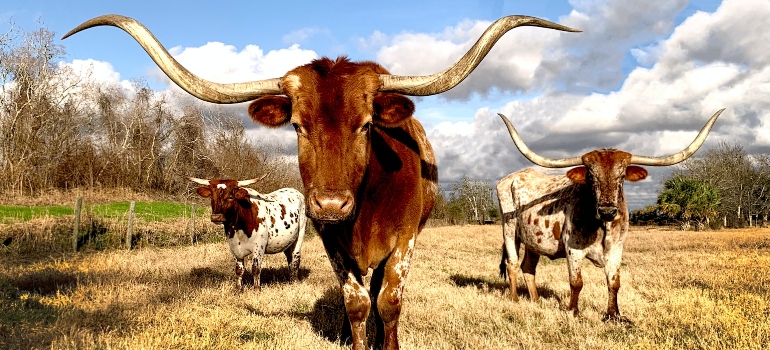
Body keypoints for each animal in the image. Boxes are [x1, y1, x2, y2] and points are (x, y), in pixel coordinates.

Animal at [63, 14, 580, 350]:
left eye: (366, 124)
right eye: (298, 126)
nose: (331, 206)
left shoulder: (405, 241)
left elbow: (389, 302)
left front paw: (386, 341)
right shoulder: (333, 244)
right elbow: (355, 304)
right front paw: (358, 338)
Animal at [496, 108, 724, 322]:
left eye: (621, 176)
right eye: (591, 177)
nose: (607, 211)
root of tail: (511, 177)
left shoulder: (616, 249)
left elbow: (614, 283)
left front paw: (614, 315)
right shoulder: (572, 249)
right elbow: (576, 282)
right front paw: (573, 312)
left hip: (533, 241)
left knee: (528, 267)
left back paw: (535, 301)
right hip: (509, 229)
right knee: (512, 263)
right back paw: (514, 299)